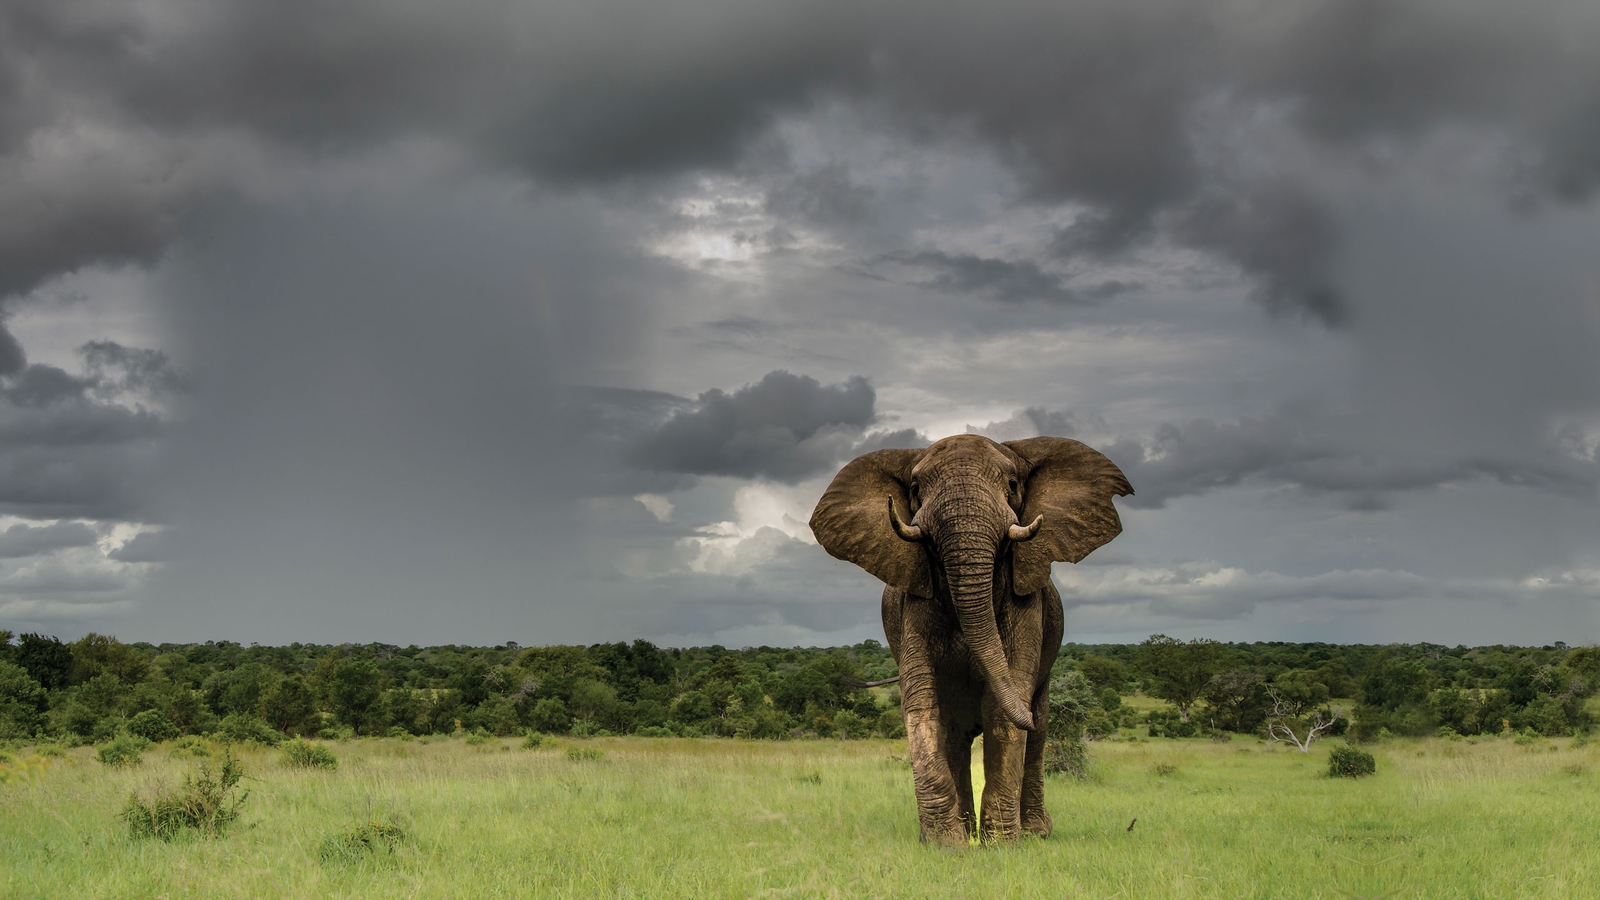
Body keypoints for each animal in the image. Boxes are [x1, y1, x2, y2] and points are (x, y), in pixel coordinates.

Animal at [809, 433, 1131, 845]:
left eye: (1012, 484)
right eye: (915, 489)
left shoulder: (1027, 606)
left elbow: (1004, 707)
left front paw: (1003, 846)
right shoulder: (913, 606)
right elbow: (922, 702)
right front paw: (945, 845)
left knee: (1039, 727)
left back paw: (1034, 832)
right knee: (958, 735)